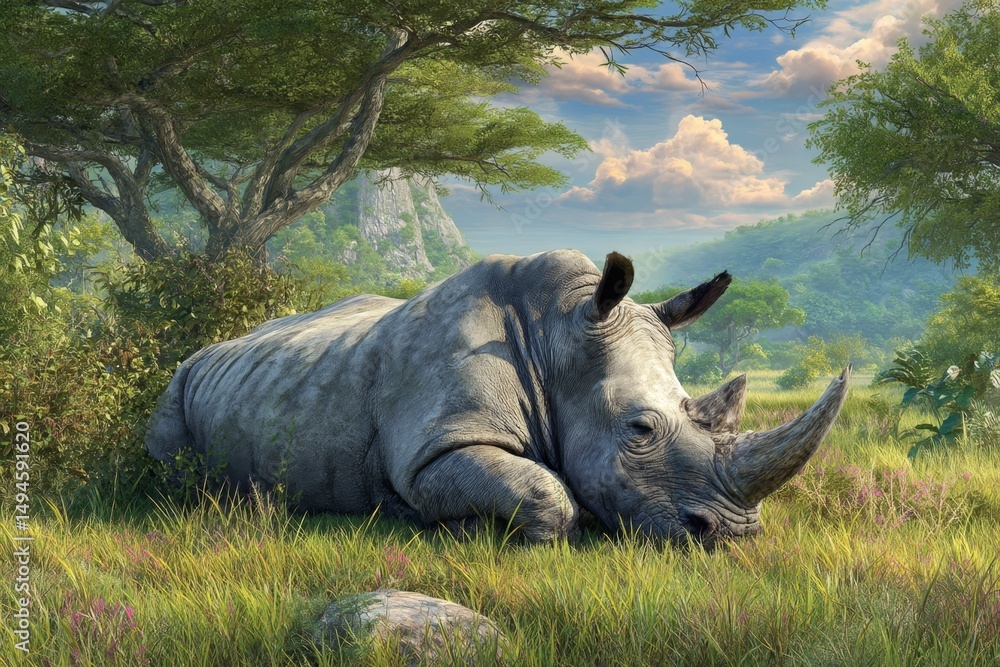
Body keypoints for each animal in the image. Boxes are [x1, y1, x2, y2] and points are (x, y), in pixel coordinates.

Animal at [145, 249, 849, 546]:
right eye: (639, 430)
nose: (733, 534)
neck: (556, 335)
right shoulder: (435, 446)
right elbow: (547, 497)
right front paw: (457, 528)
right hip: (178, 381)